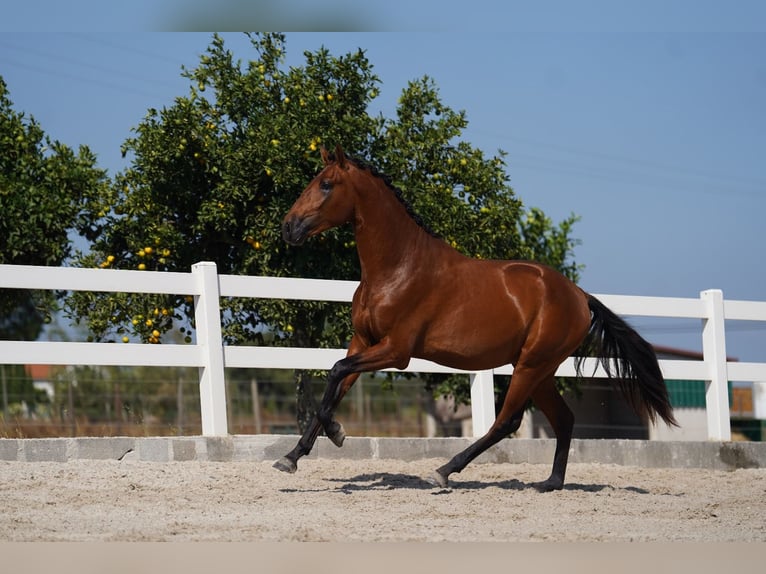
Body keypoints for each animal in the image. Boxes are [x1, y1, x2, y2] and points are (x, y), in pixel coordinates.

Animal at [278, 146, 680, 492]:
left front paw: (336, 432)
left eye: (326, 184)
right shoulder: (363, 341)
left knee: (507, 421)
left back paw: (445, 470)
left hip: (531, 366)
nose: (288, 228)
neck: (397, 267)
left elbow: (334, 372)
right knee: (563, 419)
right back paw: (550, 483)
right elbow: (336, 383)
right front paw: (292, 457)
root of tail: (580, 296)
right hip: (539, 370)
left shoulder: (396, 350)